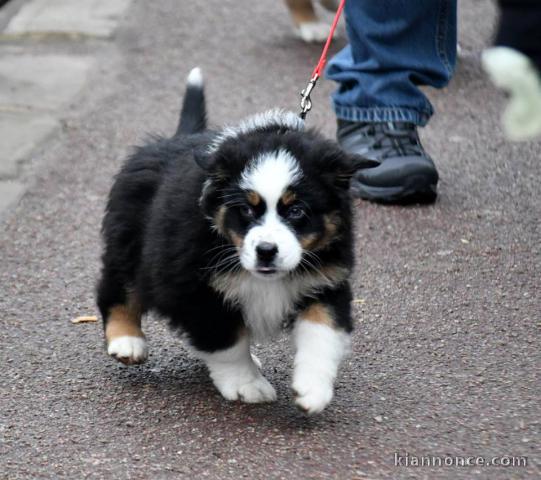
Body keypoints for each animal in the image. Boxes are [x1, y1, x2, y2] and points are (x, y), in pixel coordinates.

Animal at [96, 66, 376, 412]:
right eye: (246, 209)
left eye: (296, 210)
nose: (266, 251)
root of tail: (175, 139)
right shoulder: (197, 289)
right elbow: (226, 342)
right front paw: (247, 385)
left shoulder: (325, 279)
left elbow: (323, 331)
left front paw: (312, 389)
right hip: (130, 241)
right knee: (117, 287)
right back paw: (127, 341)